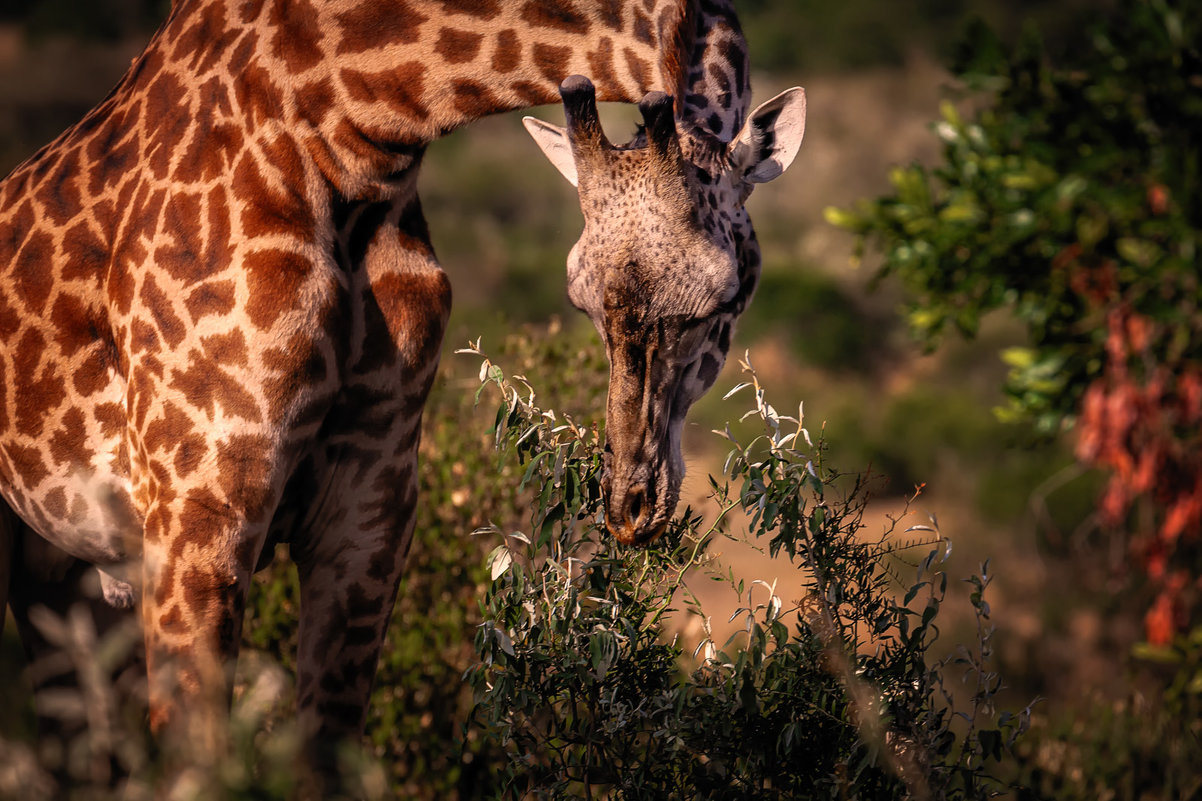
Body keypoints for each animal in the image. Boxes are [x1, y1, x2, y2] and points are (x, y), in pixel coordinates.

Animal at [2, 0, 807, 760]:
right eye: (578, 296)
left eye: (724, 298)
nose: (631, 508)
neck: (350, 132)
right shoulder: (197, 513)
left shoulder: (369, 513)